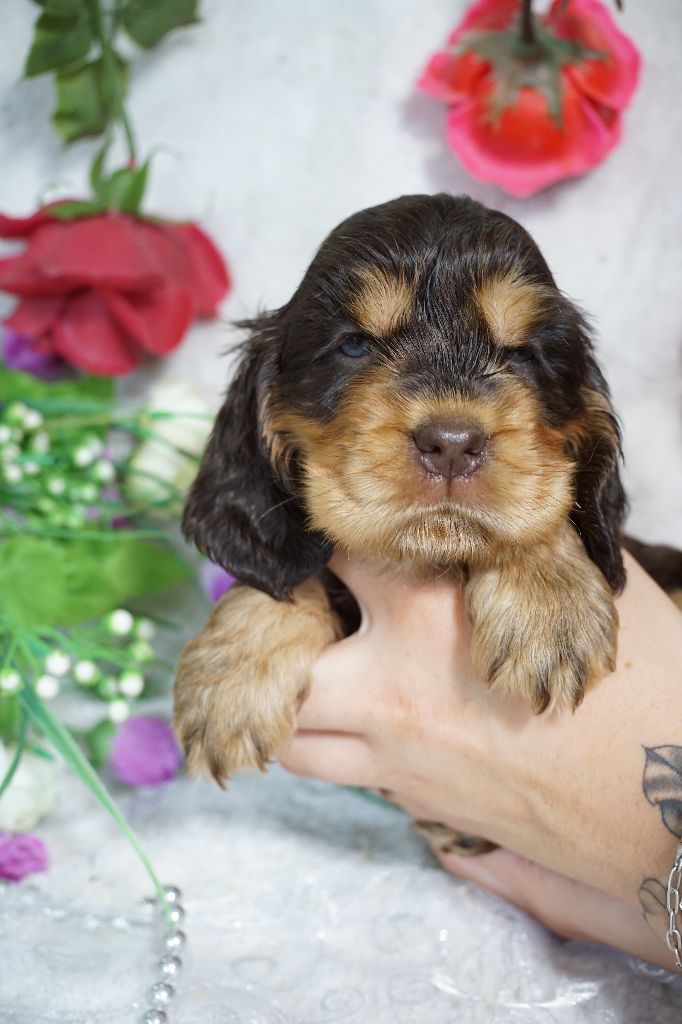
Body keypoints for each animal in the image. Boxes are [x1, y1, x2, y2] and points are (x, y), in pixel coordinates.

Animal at [173, 193, 681, 855]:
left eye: (522, 354)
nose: (452, 444)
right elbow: (287, 569)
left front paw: (550, 605)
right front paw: (230, 674)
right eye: (354, 346)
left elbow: (545, 507)